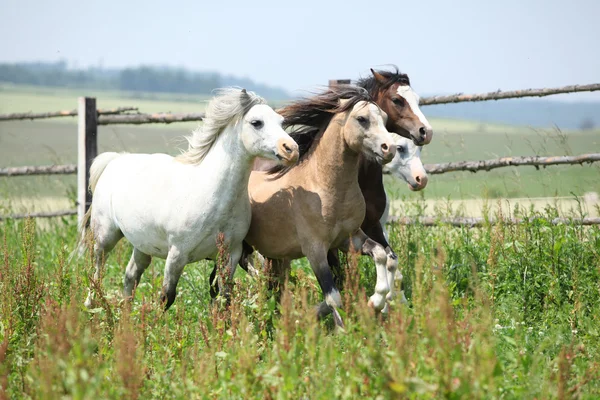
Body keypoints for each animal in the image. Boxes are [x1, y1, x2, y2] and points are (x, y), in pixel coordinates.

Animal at [83, 88, 298, 310]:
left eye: (281, 122)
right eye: (257, 122)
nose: (291, 150)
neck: (213, 198)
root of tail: (115, 160)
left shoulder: (230, 255)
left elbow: (225, 297)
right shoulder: (177, 254)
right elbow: (166, 297)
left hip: (142, 244)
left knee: (131, 276)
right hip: (106, 236)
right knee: (97, 269)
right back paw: (91, 304)